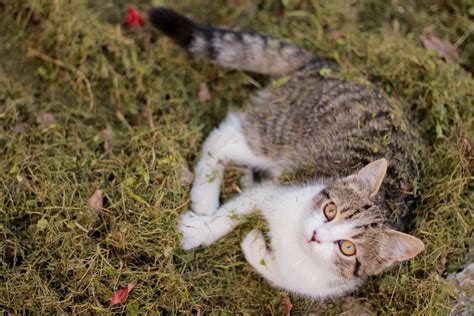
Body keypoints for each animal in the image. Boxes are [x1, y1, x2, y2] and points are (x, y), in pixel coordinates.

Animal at [150, 7, 424, 298]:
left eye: (347, 248)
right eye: (330, 210)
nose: (315, 235)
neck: (295, 241)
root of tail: (329, 65)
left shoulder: (312, 283)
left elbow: (278, 275)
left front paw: (255, 246)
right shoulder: (274, 189)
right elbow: (231, 214)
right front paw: (199, 231)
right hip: (279, 132)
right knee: (224, 136)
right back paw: (205, 194)